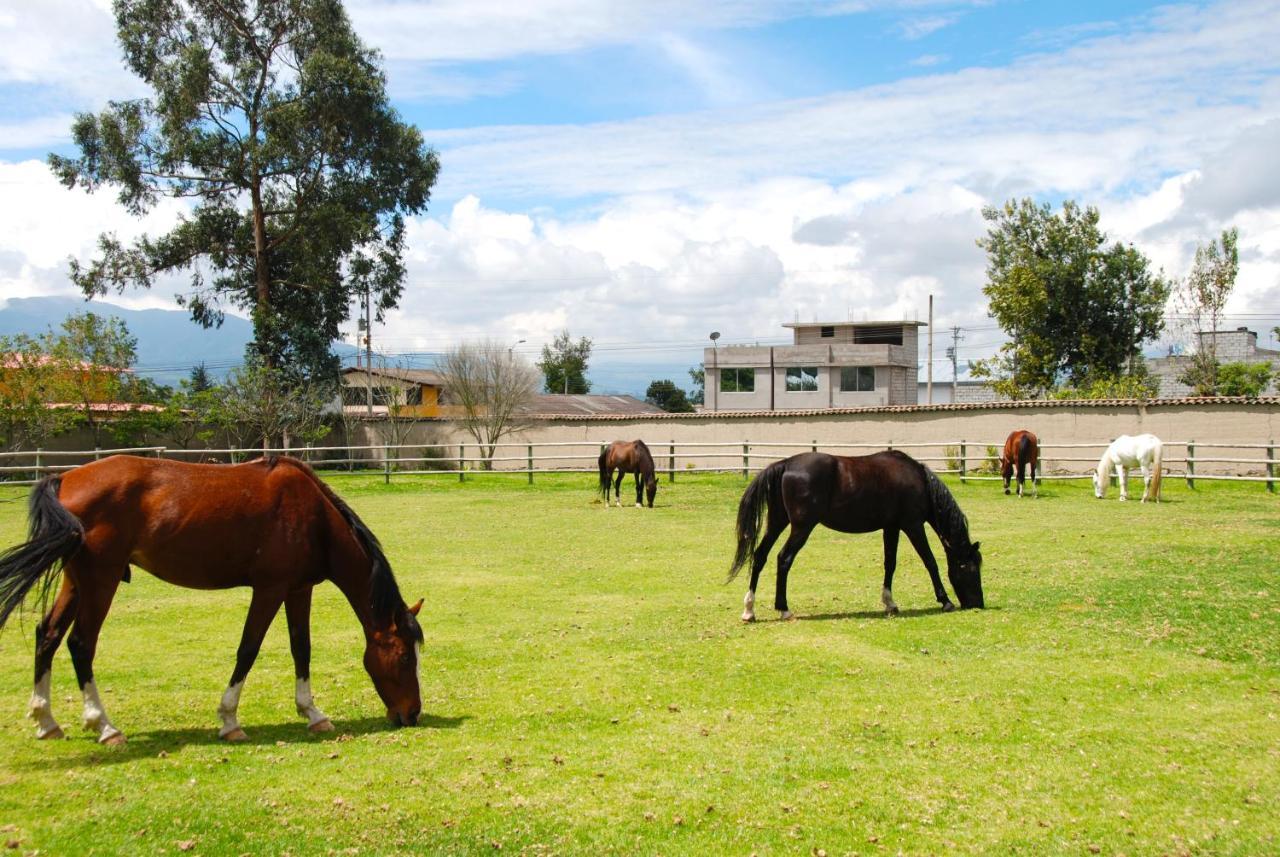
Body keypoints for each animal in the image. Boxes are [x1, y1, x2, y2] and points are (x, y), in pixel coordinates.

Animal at [0, 455, 430, 746]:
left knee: (48, 634)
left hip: (77, 581)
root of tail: (64, 477)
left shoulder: (298, 589)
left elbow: (301, 649)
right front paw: (229, 720)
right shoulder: (270, 589)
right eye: (404, 658)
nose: (411, 714)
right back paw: (104, 726)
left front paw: (313, 713)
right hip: (100, 580)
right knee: (80, 643)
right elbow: (248, 650)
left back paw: (46, 722)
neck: (314, 517)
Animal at [727, 450, 983, 624]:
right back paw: (783, 609)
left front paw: (890, 603)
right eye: (970, 568)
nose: (978, 604)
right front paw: (945, 600)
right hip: (802, 527)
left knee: (760, 556)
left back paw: (749, 610)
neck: (916, 479)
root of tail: (786, 464)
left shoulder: (891, 527)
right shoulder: (913, 526)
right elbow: (930, 562)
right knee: (784, 558)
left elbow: (890, 563)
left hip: (777, 522)